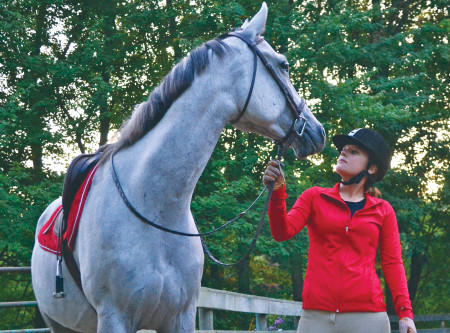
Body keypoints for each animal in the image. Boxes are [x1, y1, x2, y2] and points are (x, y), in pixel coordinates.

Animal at [32, 3, 326, 330]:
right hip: (58, 323)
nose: (318, 131)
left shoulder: (181, 317)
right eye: (283, 64)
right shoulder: (115, 318)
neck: (154, 207)